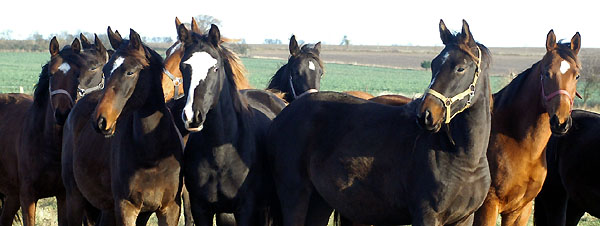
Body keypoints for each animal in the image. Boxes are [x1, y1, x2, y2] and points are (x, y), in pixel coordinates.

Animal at [177, 23, 284, 226]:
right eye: (183, 67)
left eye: (215, 68)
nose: (193, 116)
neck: (220, 152)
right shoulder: (201, 209)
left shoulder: (245, 209)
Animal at [264, 19, 490, 226]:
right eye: (434, 64)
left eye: (460, 68)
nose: (426, 114)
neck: (462, 157)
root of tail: (282, 115)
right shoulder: (426, 216)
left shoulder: (464, 219)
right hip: (295, 195)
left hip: (320, 202)